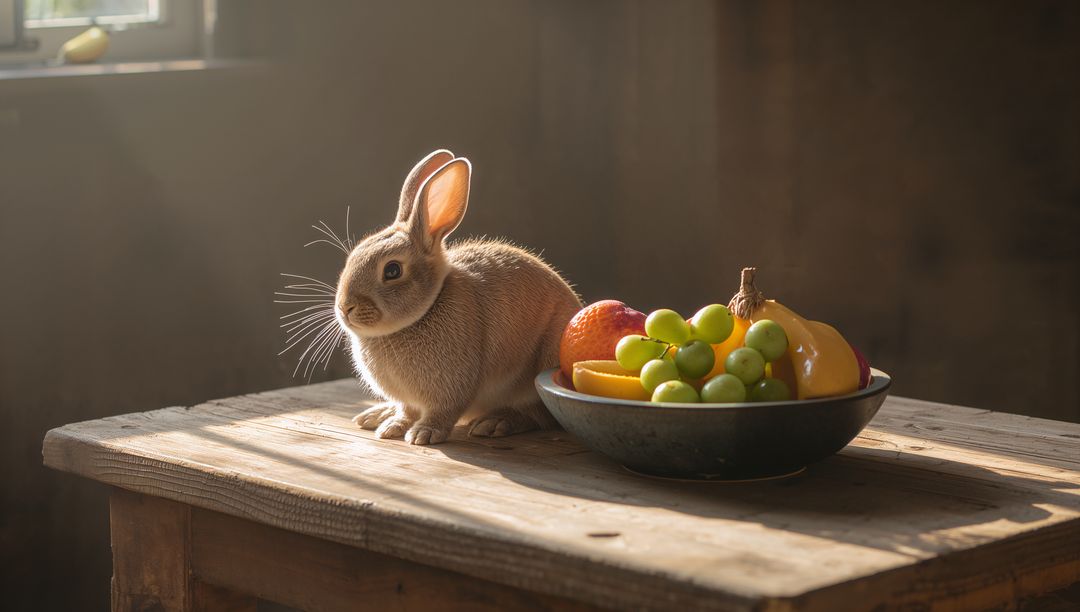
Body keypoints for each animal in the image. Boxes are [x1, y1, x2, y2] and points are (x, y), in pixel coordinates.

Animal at [337, 149, 583, 445]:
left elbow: (444, 410)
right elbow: (406, 410)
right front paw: (393, 426)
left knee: (537, 414)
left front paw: (423, 433)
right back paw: (376, 415)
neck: (426, 308)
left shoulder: (452, 389)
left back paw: (495, 422)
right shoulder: (409, 401)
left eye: (392, 270)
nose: (345, 307)